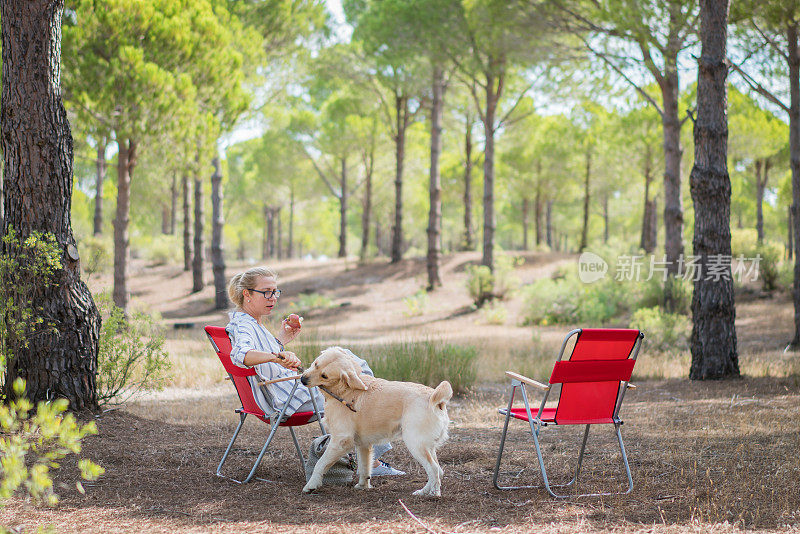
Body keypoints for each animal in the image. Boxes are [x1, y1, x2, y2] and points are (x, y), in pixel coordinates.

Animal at [300, 348, 454, 498]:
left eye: (324, 376)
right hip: (427, 446)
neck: (344, 390)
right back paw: (423, 492)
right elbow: (364, 468)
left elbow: (320, 464)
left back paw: (434, 494)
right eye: (316, 364)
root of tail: (435, 398)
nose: (302, 379)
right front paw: (363, 486)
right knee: (438, 470)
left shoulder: (341, 441)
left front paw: (310, 485)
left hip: (415, 444)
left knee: (434, 469)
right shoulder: (363, 444)